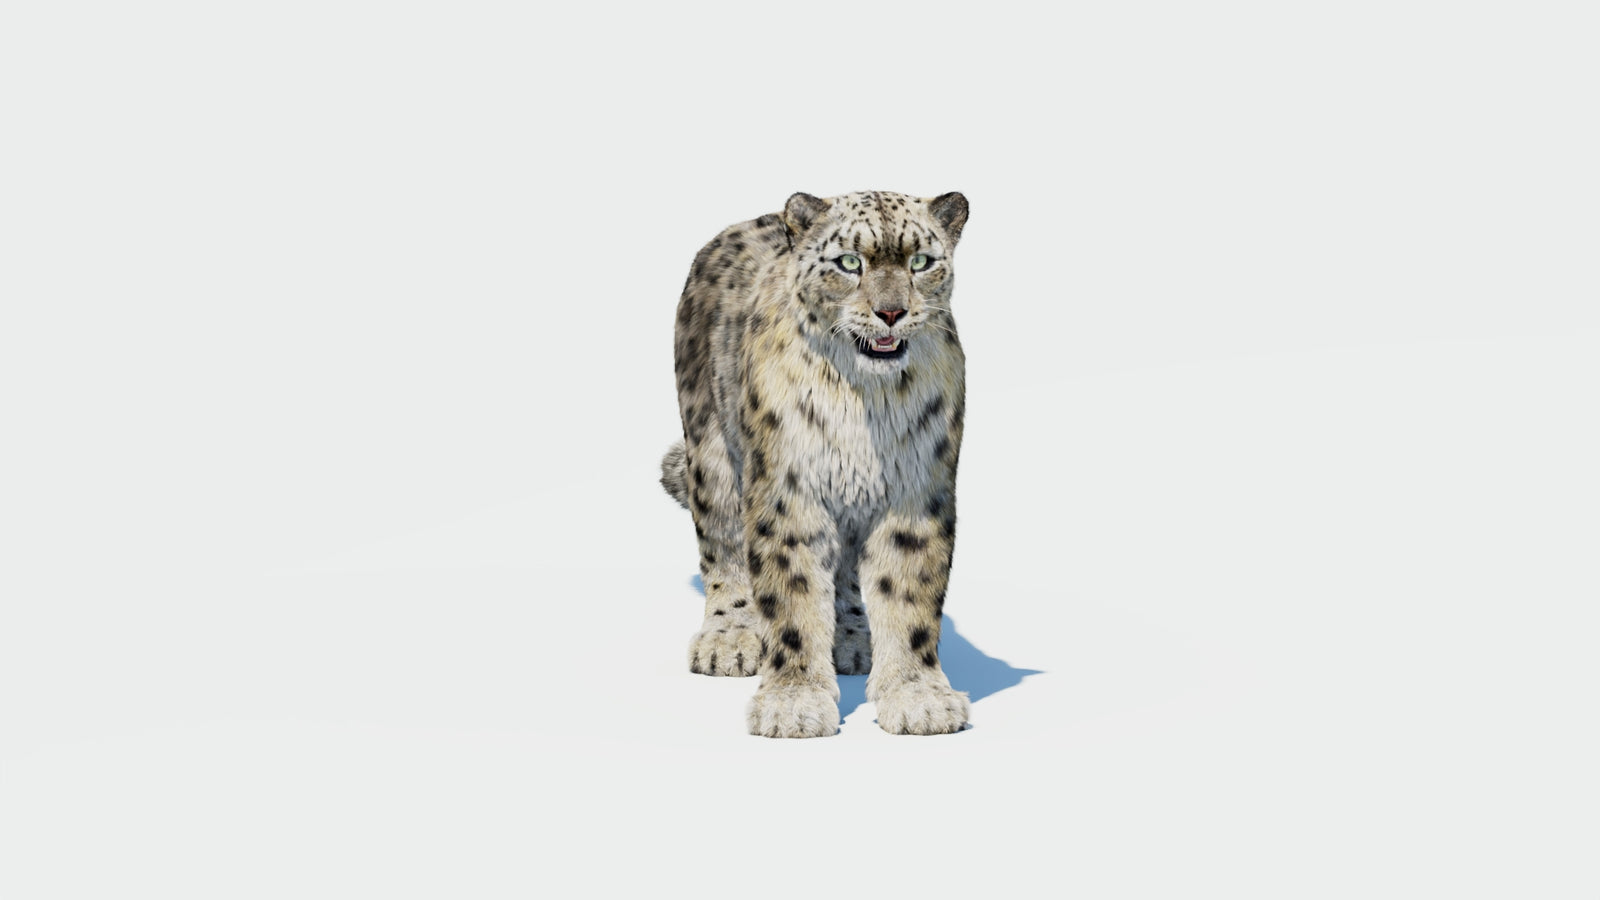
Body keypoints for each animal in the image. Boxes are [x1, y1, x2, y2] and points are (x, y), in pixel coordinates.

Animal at [661, 190, 971, 738]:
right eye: (849, 262)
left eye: (920, 261)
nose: (891, 312)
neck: (865, 400)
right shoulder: (790, 490)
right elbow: (792, 594)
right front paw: (793, 704)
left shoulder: (917, 489)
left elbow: (909, 592)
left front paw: (918, 697)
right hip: (710, 449)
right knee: (722, 542)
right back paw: (729, 637)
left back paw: (852, 637)